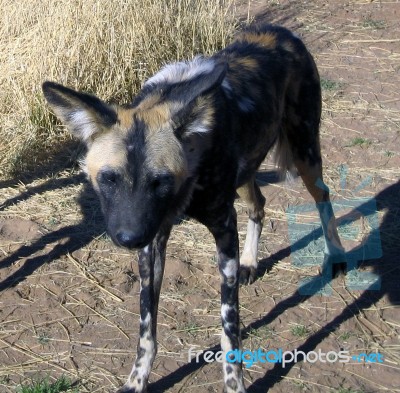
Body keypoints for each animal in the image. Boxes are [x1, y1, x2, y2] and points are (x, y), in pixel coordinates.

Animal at [43, 25, 344, 392]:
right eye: (109, 179)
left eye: (160, 181)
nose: (128, 238)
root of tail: (280, 32)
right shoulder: (153, 241)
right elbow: (147, 330)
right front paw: (138, 379)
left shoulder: (223, 230)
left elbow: (229, 330)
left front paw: (234, 383)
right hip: (246, 175)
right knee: (259, 205)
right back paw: (250, 262)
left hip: (306, 155)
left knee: (322, 197)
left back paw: (336, 257)